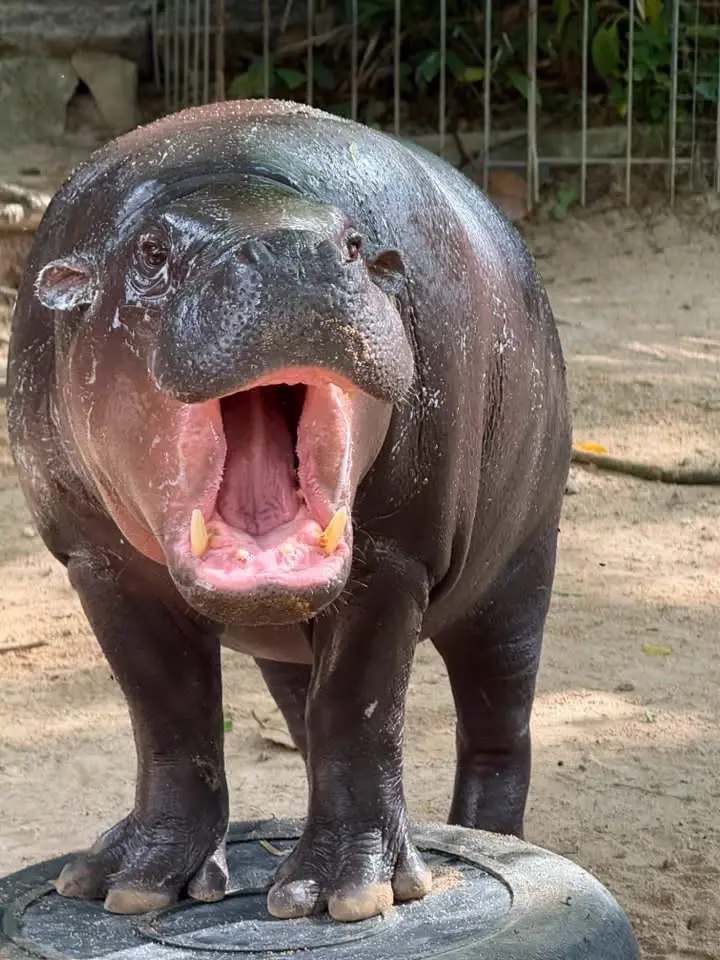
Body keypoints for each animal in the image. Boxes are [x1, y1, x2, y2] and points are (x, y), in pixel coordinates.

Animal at [7, 99, 571, 923]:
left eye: (356, 242)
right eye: (149, 251)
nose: (290, 255)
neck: (233, 179)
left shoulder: (393, 559)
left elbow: (359, 707)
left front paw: (347, 892)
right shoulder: (97, 562)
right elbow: (168, 713)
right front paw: (127, 882)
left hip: (518, 571)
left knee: (498, 722)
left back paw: (488, 839)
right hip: (289, 640)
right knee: (305, 718)